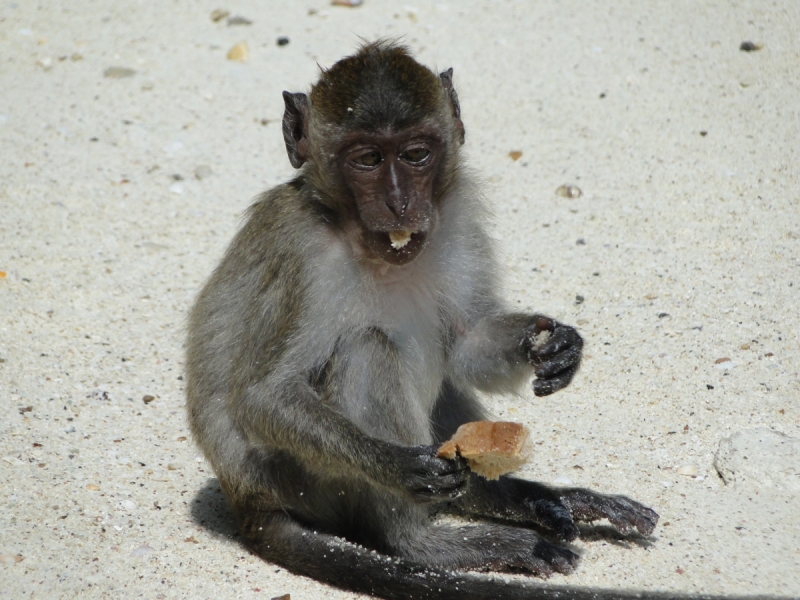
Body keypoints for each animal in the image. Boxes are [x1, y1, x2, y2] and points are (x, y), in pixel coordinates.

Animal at [189, 39, 664, 596]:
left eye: (416, 154)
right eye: (367, 159)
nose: (399, 202)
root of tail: (249, 501)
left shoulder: (455, 215)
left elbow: (467, 342)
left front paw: (553, 344)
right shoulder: (303, 255)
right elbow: (265, 396)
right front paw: (394, 465)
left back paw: (519, 498)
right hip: (306, 485)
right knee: (367, 349)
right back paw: (426, 543)